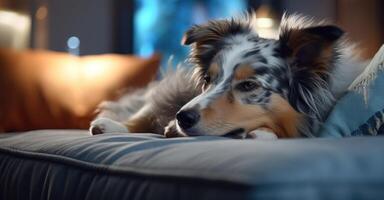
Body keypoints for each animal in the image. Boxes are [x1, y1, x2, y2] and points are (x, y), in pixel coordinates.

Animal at [88, 12, 364, 139]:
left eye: (249, 85)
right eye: (208, 80)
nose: (182, 118)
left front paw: (261, 133)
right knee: (144, 113)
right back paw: (108, 125)